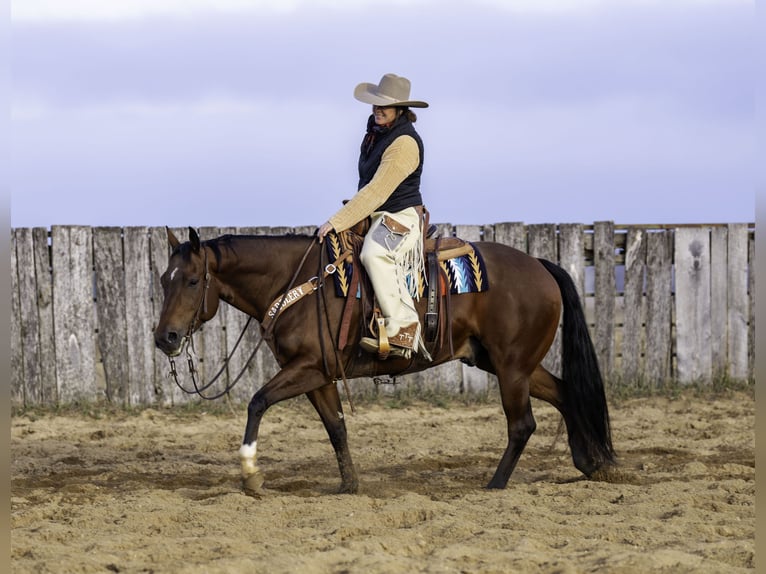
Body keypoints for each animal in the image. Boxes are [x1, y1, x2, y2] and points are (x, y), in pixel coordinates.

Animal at [154, 227, 616, 498]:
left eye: (192, 280)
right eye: (163, 280)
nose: (165, 338)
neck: (299, 283)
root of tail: (539, 265)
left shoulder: (307, 369)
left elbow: (257, 402)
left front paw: (250, 474)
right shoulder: (320, 376)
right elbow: (336, 428)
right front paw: (349, 485)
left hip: (512, 367)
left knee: (522, 424)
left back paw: (495, 484)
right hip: (507, 364)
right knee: (566, 393)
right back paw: (591, 462)